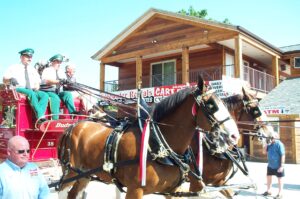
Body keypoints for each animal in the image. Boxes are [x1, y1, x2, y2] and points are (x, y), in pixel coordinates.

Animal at [57, 76, 239, 199]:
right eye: (211, 105)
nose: (234, 135)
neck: (157, 145)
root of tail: (72, 127)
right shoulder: (134, 190)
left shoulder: (171, 191)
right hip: (71, 172)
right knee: (62, 191)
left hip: (84, 175)